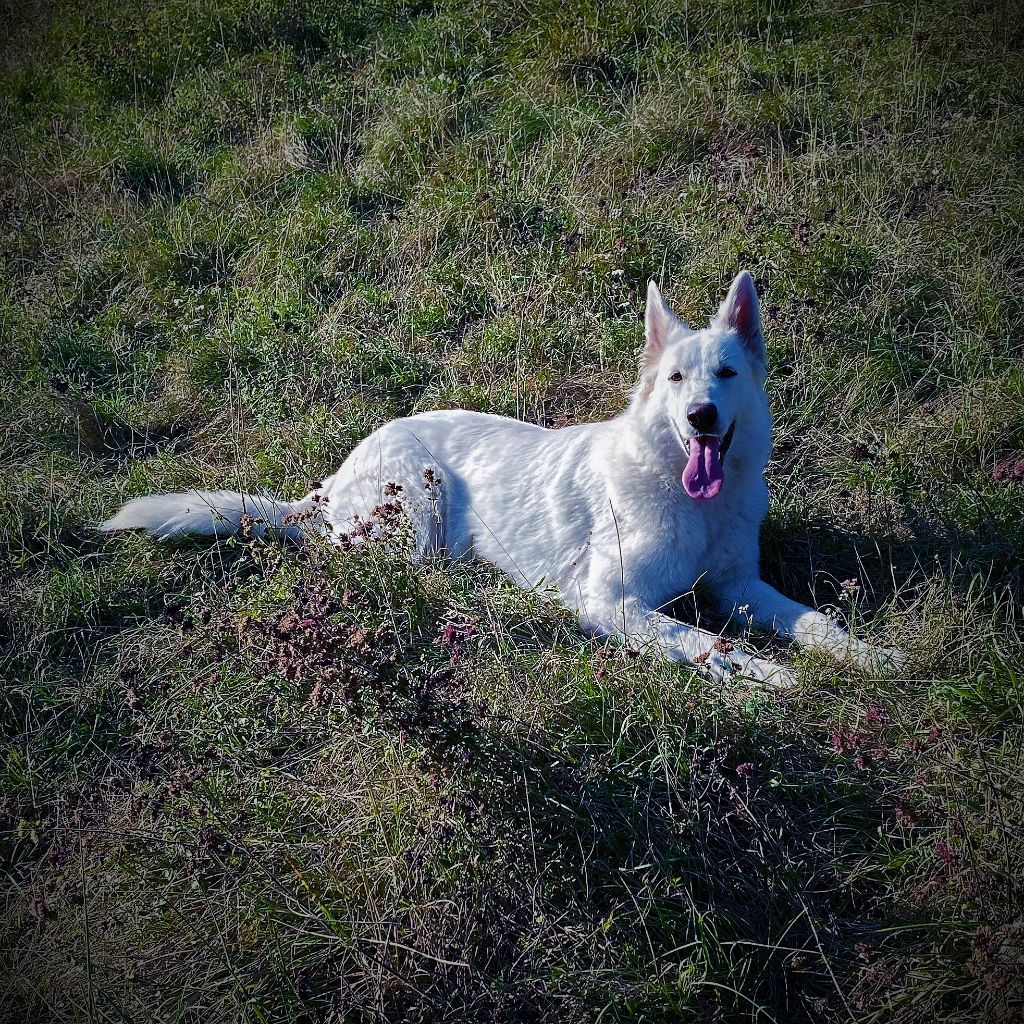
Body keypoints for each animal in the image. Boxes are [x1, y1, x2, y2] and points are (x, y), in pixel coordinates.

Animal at [103, 272, 905, 688]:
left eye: (727, 375)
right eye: (677, 379)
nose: (701, 416)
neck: (686, 495)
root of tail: (328, 486)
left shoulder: (739, 586)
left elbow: (813, 622)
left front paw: (868, 658)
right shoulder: (612, 604)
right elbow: (712, 645)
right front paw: (780, 684)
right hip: (418, 511)